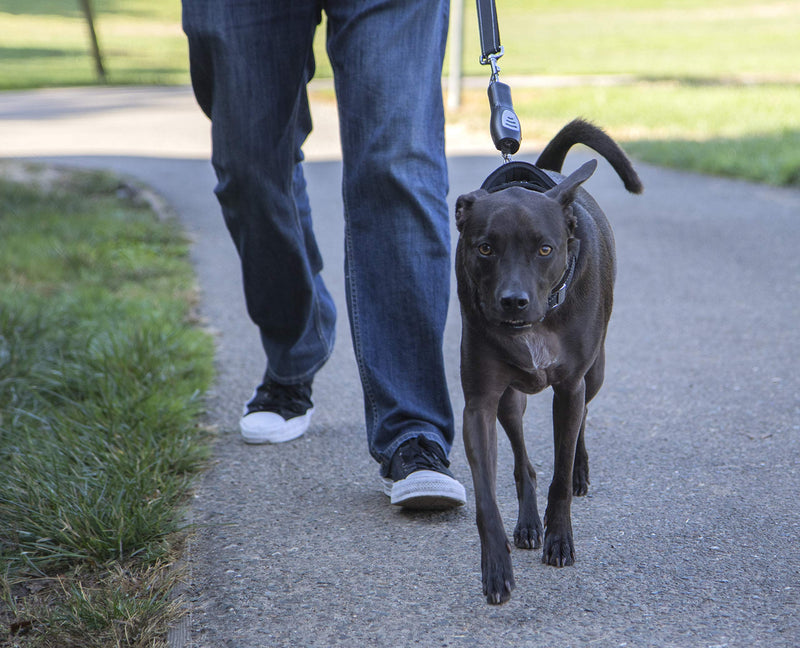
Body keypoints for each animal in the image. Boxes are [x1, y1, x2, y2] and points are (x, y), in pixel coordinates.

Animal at [456, 117, 644, 604]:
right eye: (485, 249)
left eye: (545, 249)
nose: (513, 302)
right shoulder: (480, 403)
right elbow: (486, 496)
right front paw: (496, 565)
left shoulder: (570, 386)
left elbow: (560, 474)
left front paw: (560, 538)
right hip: (511, 399)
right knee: (524, 461)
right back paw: (526, 523)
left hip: (594, 374)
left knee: (580, 423)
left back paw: (579, 470)